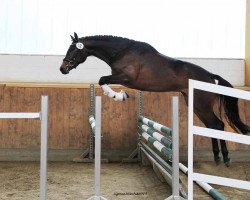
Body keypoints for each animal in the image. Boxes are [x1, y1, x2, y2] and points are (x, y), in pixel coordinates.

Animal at [59, 33, 249, 167]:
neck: (122, 52)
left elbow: (102, 80)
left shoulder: (125, 78)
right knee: (212, 126)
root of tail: (210, 76)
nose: (62, 69)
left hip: (201, 106)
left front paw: (118, 96)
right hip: (195, 104)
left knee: (218, 125)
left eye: (73, 50)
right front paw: (120, 95)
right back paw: (217, 157)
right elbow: (102, 80)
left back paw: (225, 158)